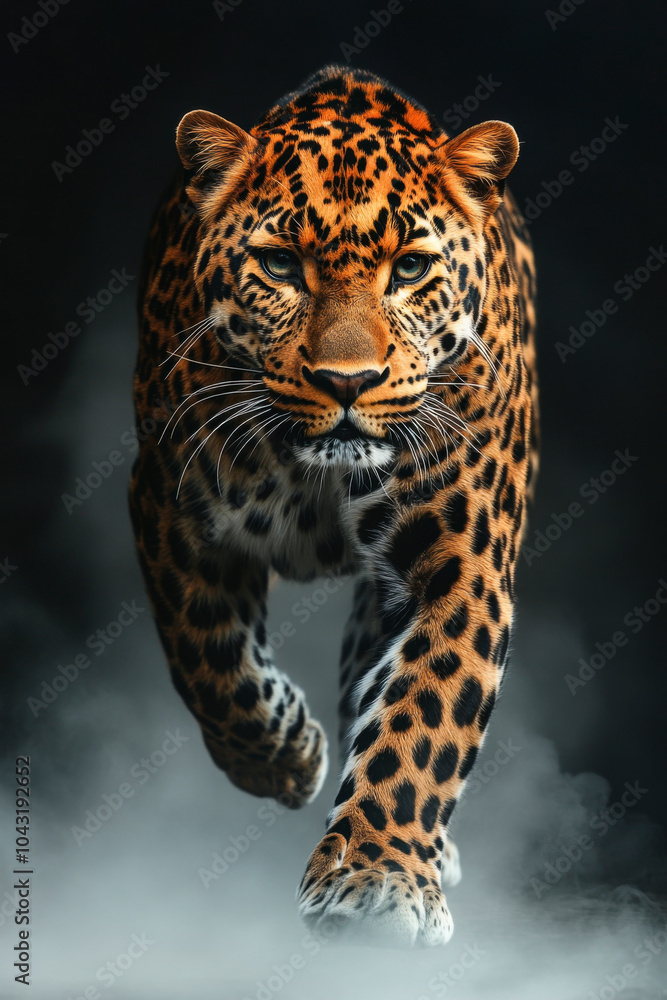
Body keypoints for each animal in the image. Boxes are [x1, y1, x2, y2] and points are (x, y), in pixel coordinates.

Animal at [129, 64, 538, 948]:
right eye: (281, 265)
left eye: (410, 268)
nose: (346, 381)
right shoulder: (168, 506)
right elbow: (205, 657)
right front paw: (282, 756)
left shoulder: (460, 566)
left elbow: (424, 715)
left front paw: (379, 877)